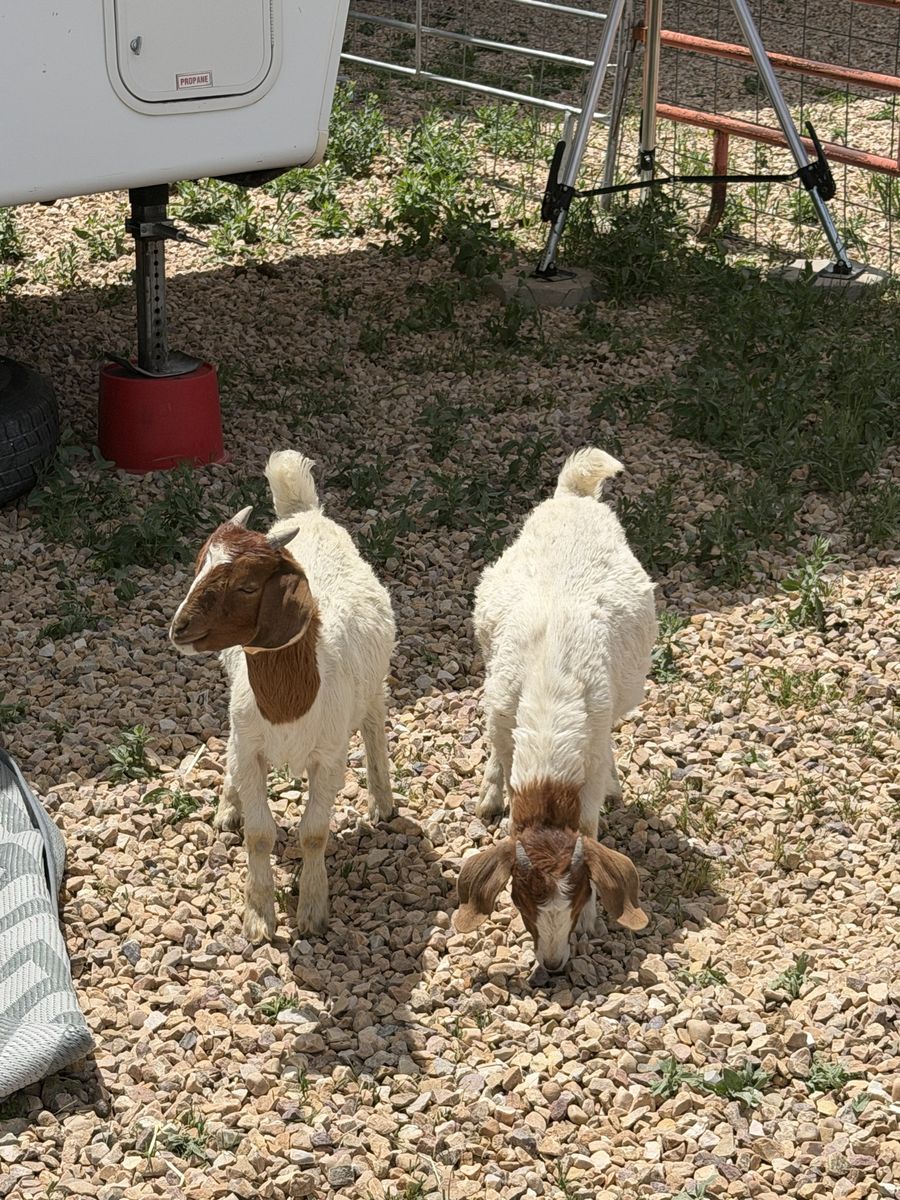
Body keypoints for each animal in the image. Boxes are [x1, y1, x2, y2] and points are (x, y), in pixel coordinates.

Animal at [169, 450, 396, 943]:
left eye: (247, 586)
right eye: (197, 567)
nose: (179, 627)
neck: (290, 704)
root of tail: (304, 512)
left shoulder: (329, 758)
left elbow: (313, 833)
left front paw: (312, 909)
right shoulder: (251, 746)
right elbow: (259, 834)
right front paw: (259, 915)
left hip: (373, 687)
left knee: (374, 727)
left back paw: (383, 802)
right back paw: (227, 808)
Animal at [455, 448, 654, 974]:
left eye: (582, 894)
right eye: (520, 900)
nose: (553, 965)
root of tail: (573, 495)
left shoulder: (594, 738)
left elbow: (588, 819)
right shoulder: (504, 714)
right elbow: (503, 760)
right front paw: (494, 796)